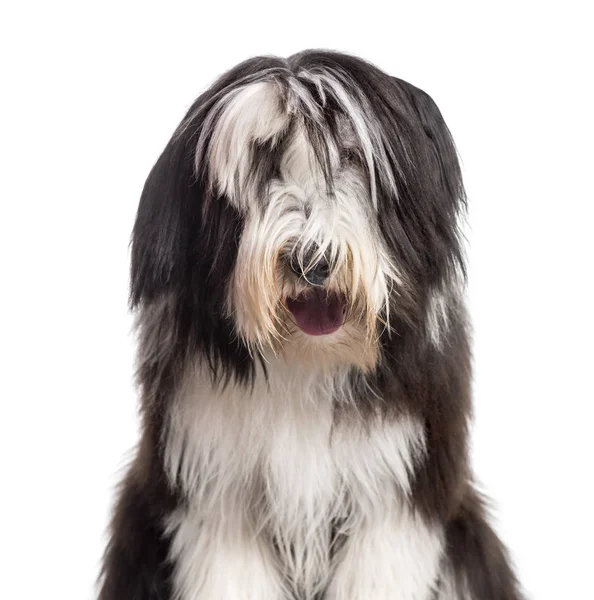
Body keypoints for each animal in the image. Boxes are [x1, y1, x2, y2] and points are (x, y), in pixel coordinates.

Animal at [99, 49, 520, 596]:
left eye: (352, 158)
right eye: (261, 164)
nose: (311, 261)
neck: (308, 363)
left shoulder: (394, 493)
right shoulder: (217, 491)